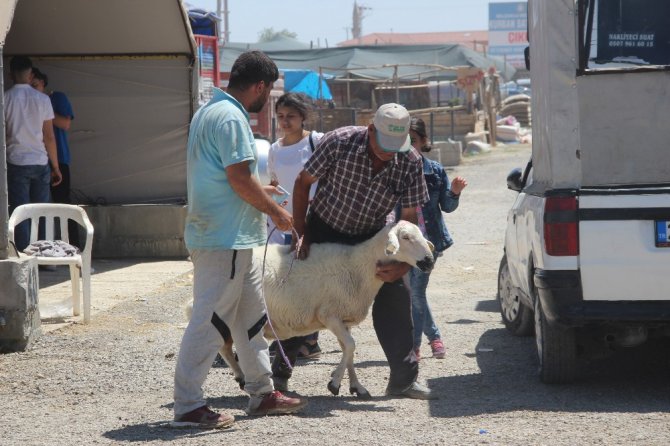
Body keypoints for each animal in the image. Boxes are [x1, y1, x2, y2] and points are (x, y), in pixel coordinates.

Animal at [185, 221, 436, 398]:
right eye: (405, 237)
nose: (429, 261)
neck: (358, 265)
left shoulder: (343, 318)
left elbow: (349, 350)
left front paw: (356, 386)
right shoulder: (329, 314)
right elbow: (351, 346)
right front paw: (335, 382)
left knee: (226, 344)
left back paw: (241, 376)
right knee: (223, 344)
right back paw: (241, 376)